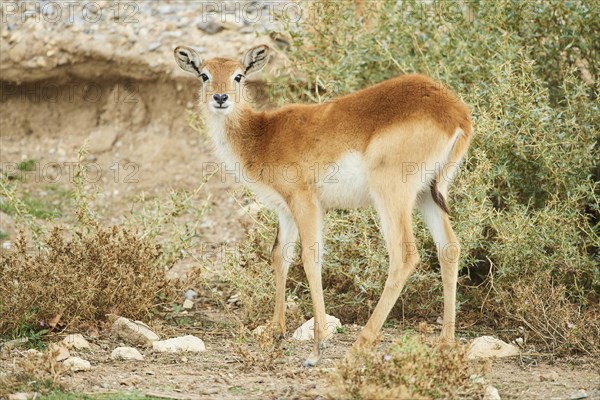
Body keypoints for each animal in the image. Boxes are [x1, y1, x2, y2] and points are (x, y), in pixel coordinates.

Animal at [173, 44, 474, 366]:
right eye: (204, 74)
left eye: (238, 75)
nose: (220, 98)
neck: (262, 136)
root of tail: (456, 114)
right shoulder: (284, 210)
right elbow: (280, 256)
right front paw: (275, 331)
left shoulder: (305, 201)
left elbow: (310, 257)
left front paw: (317, 349)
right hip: (427, 196)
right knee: (449, 248)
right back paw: (445, 345)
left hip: (392, 195)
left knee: (404, 256)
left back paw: (358, 346)